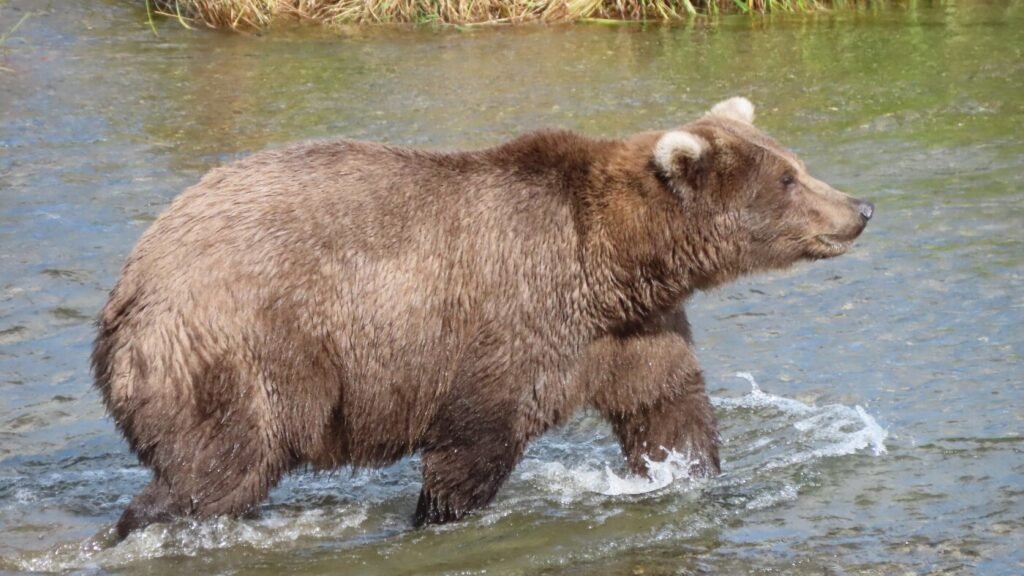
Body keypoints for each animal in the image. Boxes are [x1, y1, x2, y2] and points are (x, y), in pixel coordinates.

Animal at [93, 97, 873, 540]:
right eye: (788, 180)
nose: (859, 208)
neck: (614, 264)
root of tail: (129, 281)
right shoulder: (513, 318)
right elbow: (474, 442)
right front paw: (436, 517)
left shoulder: (632, 331)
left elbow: (667, 408)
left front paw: (691, 475)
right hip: (236, 351)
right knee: (216, 469)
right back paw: (146, 525)